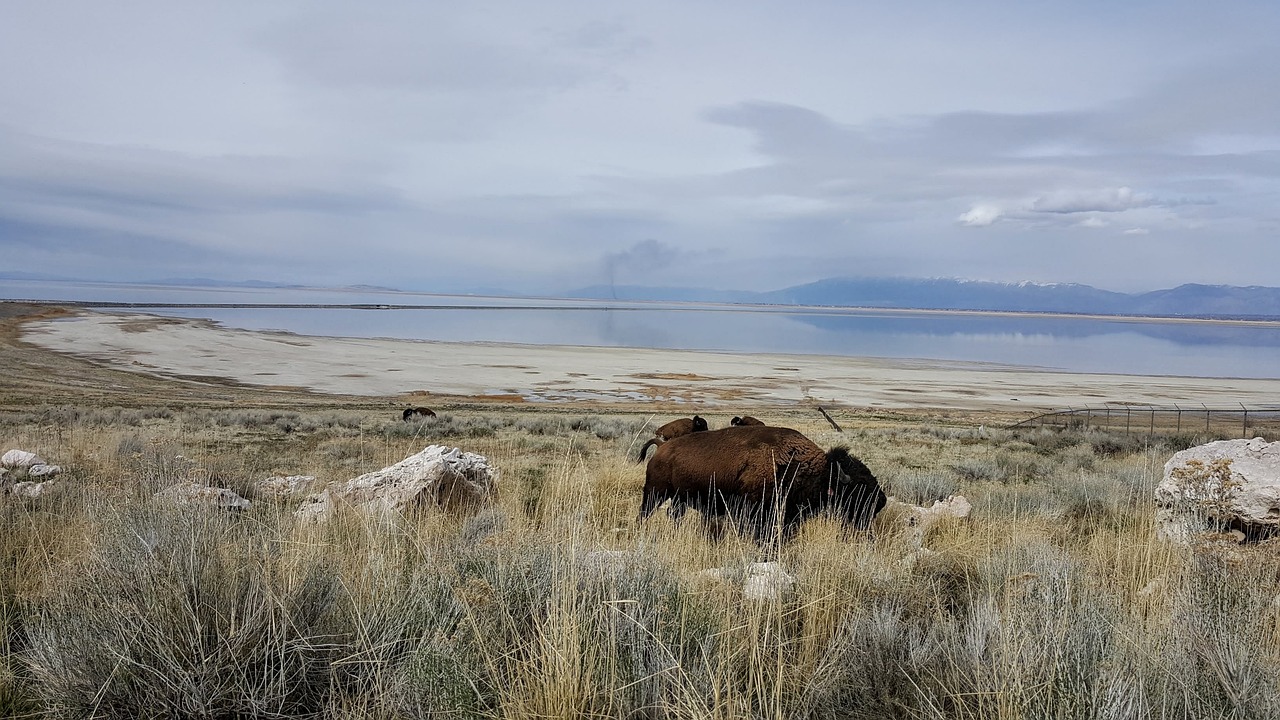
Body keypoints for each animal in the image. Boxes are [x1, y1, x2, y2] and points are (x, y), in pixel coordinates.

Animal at [637, 420, 880, 538]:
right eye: (857, 486)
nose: (881, 501)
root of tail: (662, 447)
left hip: (679, 499)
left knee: (673, 515)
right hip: (655, 493)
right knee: (645, 513)